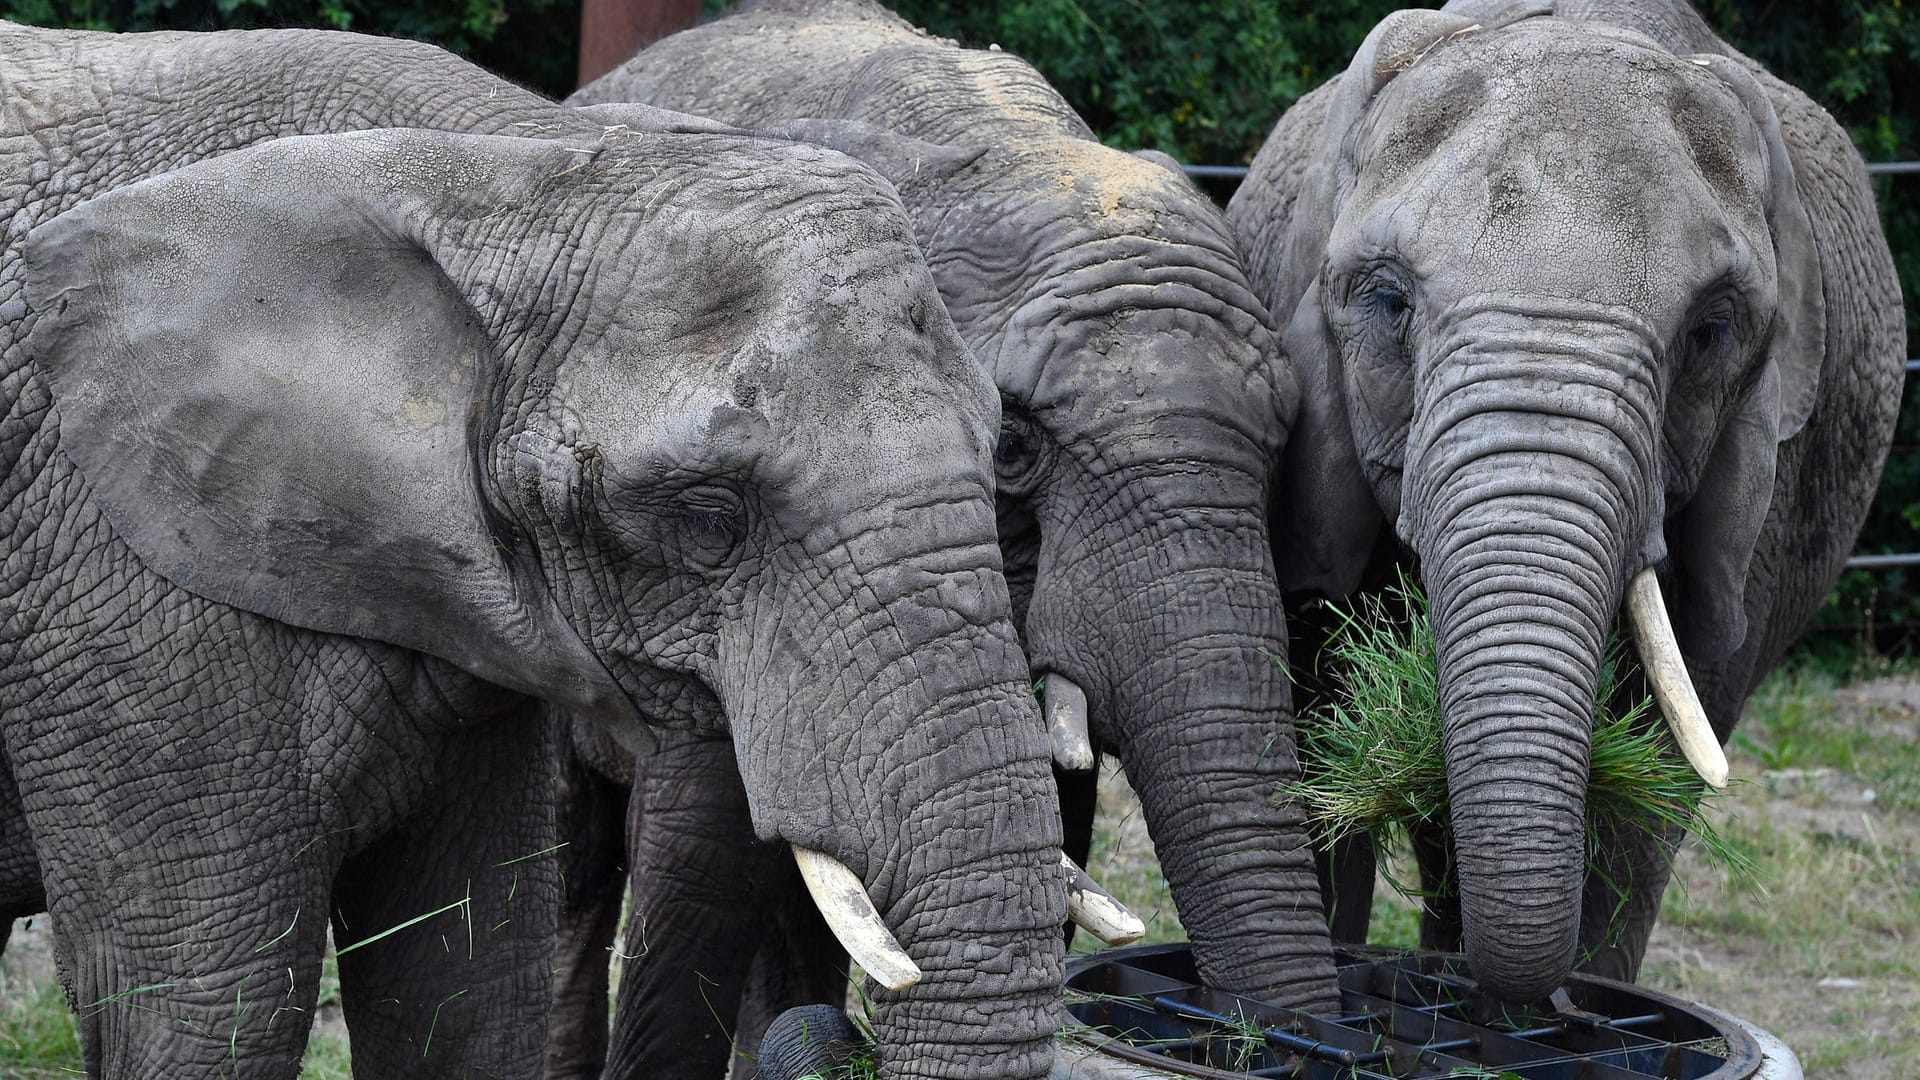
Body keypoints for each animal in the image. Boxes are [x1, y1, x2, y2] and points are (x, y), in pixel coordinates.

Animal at [0, 18, 1082, 1076]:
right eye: (709, 517)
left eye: (1002, 449)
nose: (836, 1035)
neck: (502, 163)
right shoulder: (124, 605)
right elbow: (204, 1003)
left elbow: (469, 983)